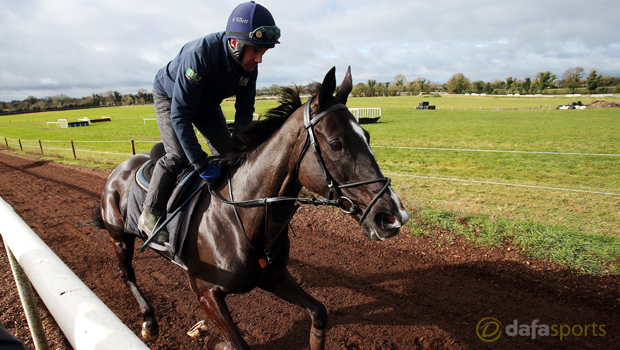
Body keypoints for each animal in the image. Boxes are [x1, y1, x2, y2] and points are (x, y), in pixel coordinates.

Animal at [91, 66, 406, 350]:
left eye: (367, 136)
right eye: (337, 144)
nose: (393, 216)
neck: (242, 214)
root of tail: (119, 168)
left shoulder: (273, 276)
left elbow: (319, 312)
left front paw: (205, 334)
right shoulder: (206, 292)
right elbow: (237, 344)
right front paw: (206, 336)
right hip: (119, 237)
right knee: (127, 274)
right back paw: (149, 322)